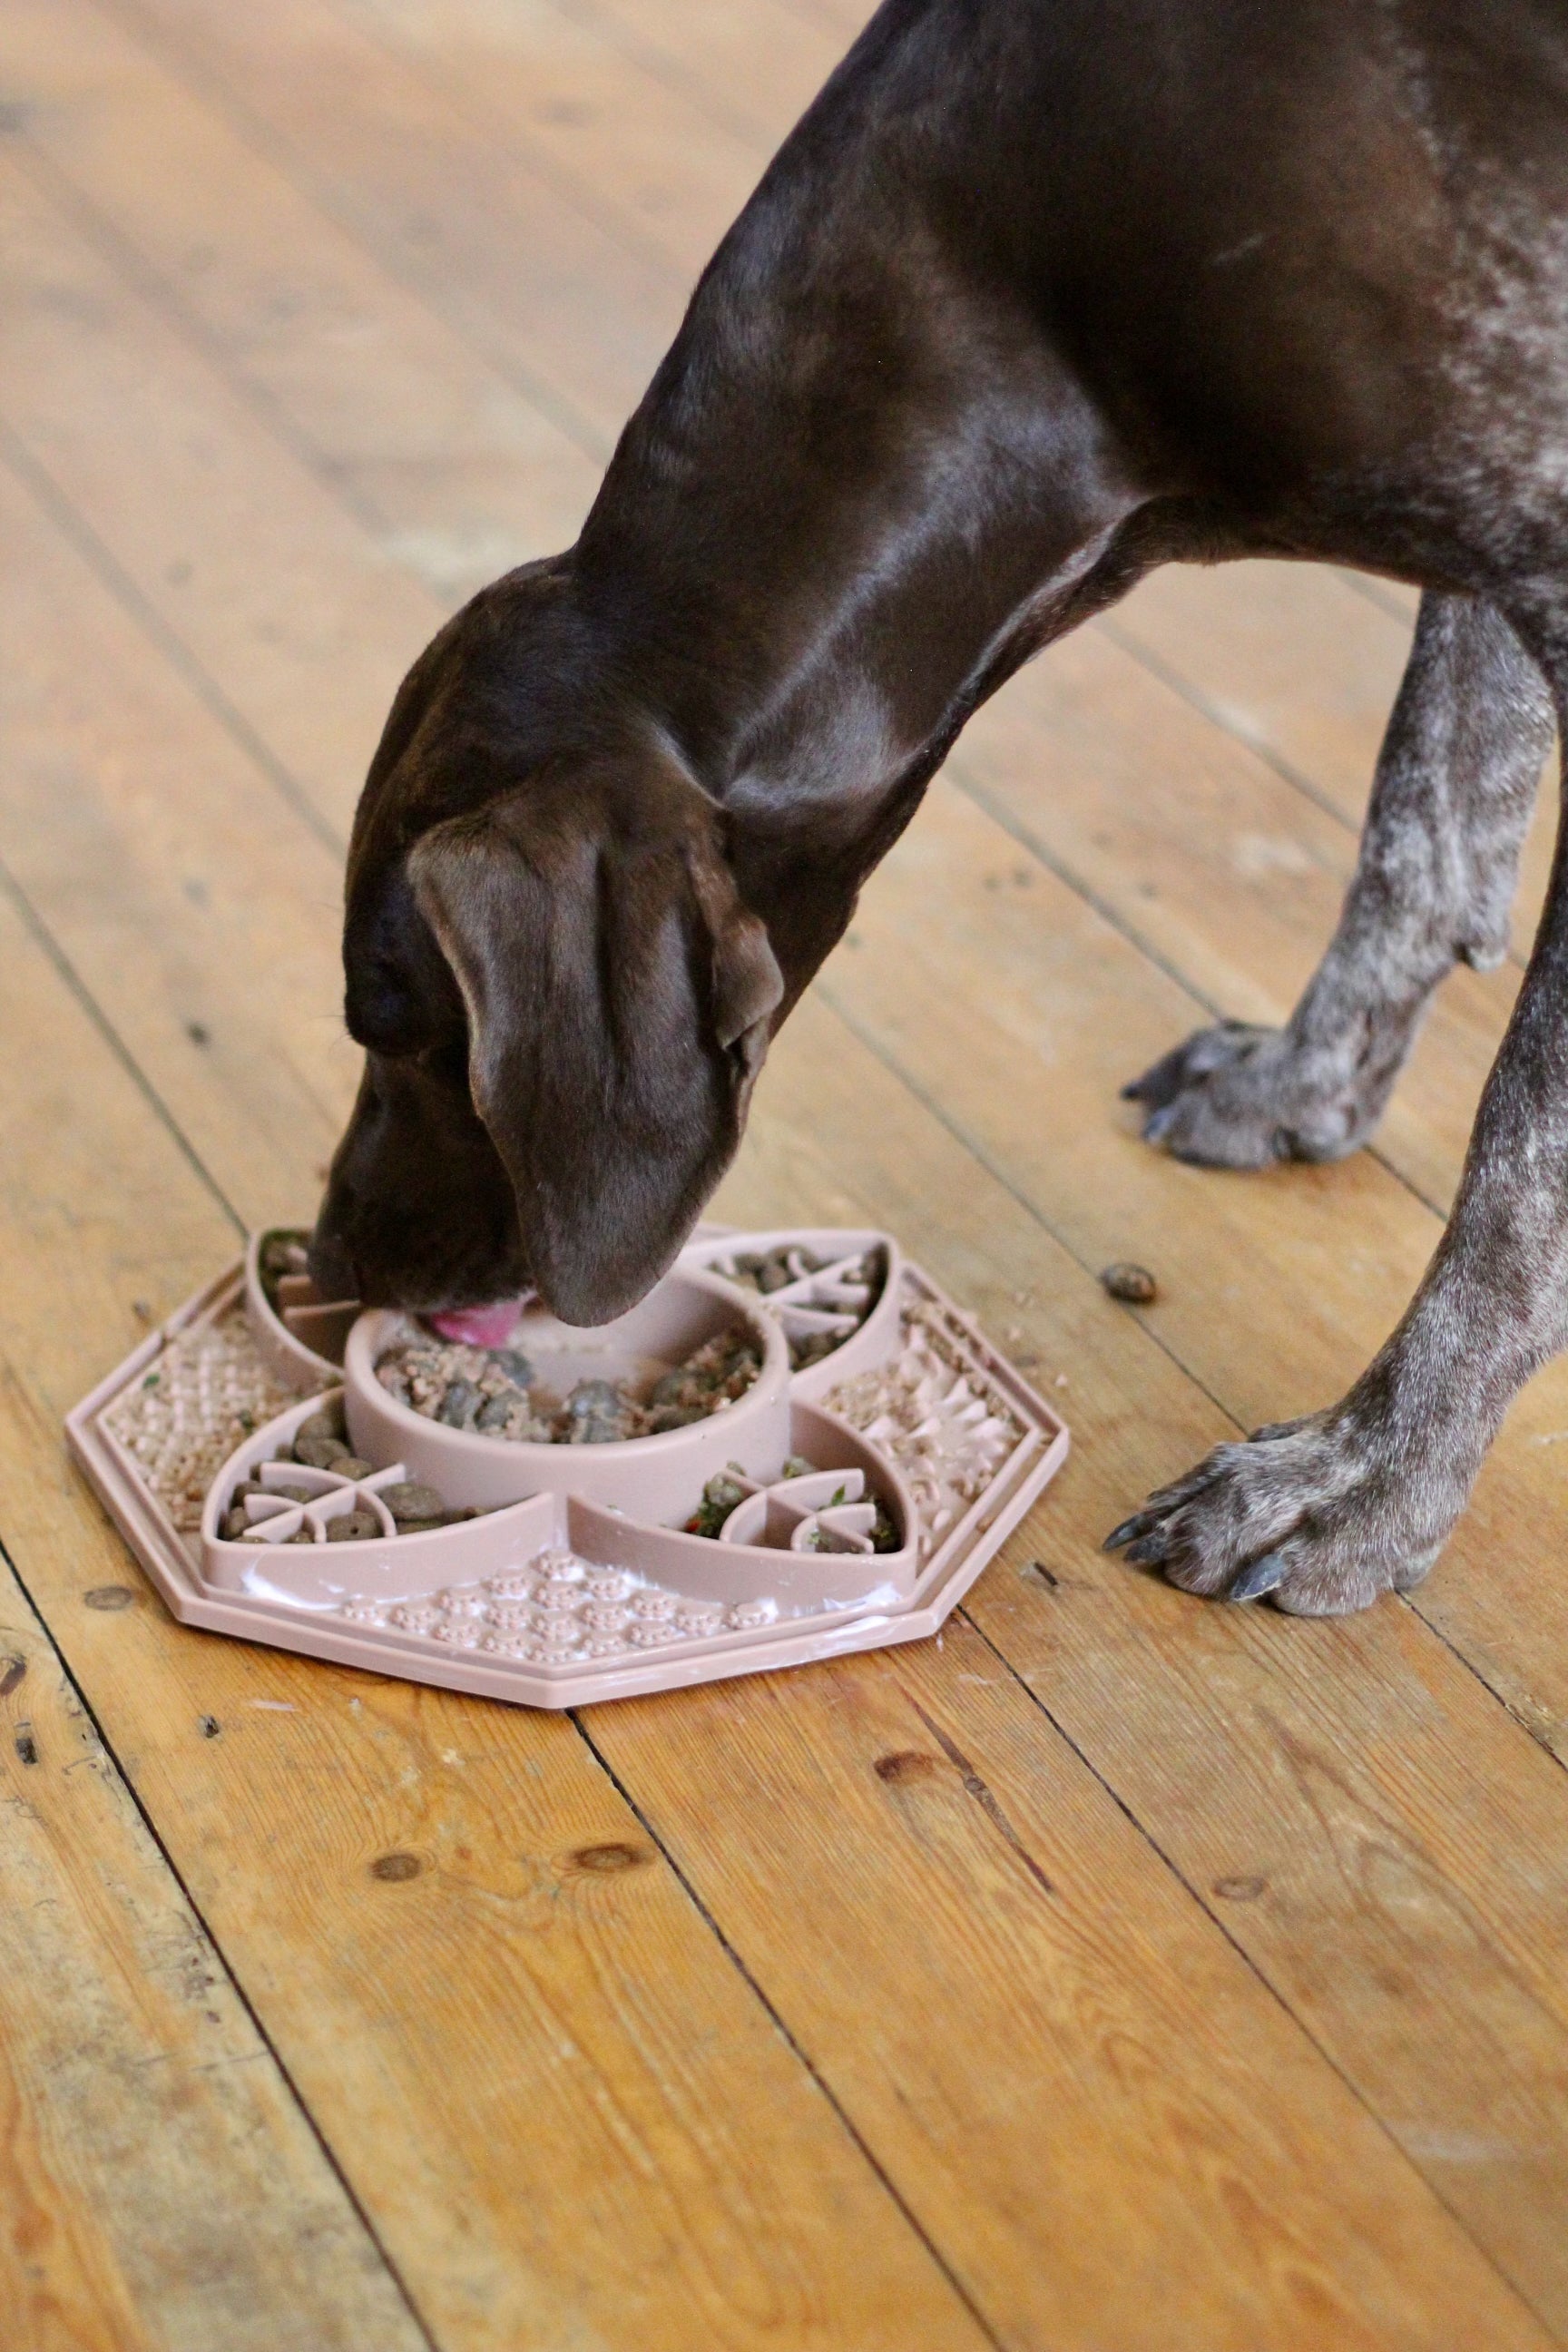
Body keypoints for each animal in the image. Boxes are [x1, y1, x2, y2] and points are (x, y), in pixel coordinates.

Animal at [312, 0, 1568, 1618]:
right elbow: (1423, 812)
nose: (334, 1263)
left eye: (402, 1025)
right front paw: (1308, 1079)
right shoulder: (1477, 522)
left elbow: (1520, 1154)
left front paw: (1370, 1475)